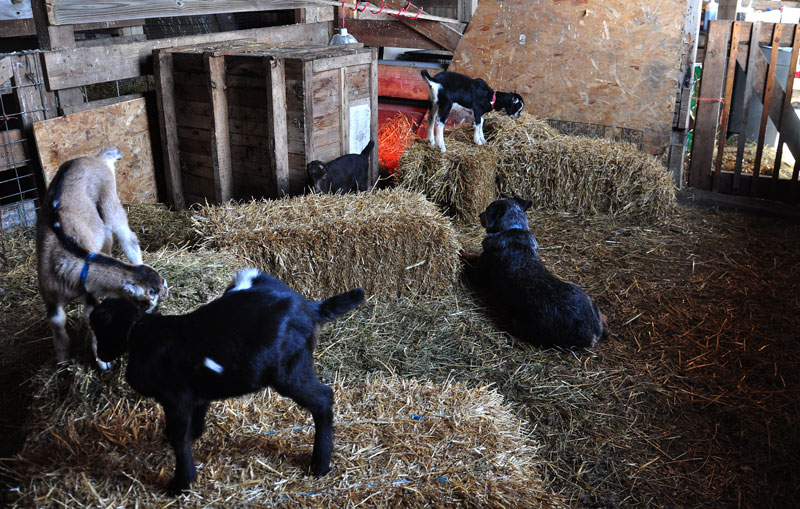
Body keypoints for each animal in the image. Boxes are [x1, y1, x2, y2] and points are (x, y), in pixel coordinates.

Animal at [36, 146, 168, 369]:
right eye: (147, 301)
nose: (149, 315)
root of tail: (99, 159)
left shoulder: (89, 292)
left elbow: (91, 316)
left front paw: (101, 360)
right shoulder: (49, 296)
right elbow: (57, 323)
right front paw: (63, 359)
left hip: (109, 198)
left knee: (126, 236)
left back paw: (137, 260)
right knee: (108, 236)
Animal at [89, 268, 365, 494]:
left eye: (97, 327)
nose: (101, 356)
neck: (140, 332)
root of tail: (310, 307)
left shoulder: (176, 396)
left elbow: (178, 436)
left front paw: (181, 484)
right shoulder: (196, 392)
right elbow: (193, 422)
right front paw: (194, 439)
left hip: (289, 371)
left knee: (323, 398)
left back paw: (320, 465)